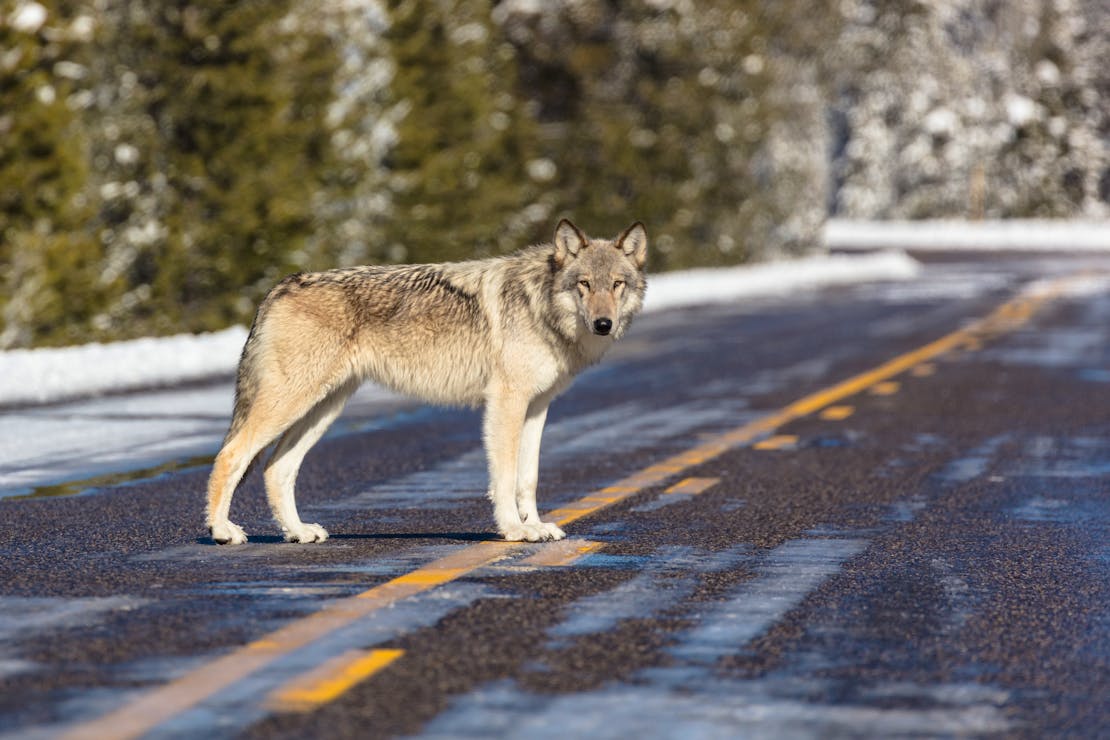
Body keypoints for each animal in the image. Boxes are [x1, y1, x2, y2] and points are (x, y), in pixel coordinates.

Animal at [205, 219, 647, 545]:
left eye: (617, 284)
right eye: (584, 284)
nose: (603, 324)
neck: (541, 305)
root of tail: (280, 286)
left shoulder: (537, 406)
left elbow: (529, 477)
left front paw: (535, 525)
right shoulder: (506, 402)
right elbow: (504, 477)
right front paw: (514, 530)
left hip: (323, 409)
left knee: (276, 468)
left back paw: (298, 532)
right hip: (291, 404)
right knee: (231, 454)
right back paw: (223, 531)